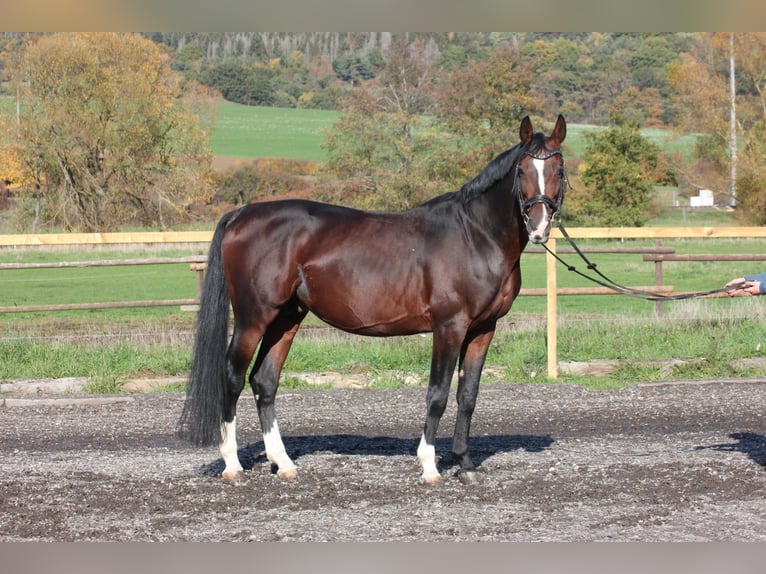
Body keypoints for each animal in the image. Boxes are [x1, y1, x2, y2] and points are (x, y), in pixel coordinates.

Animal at [177, 116, 568, 486]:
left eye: (559, 170)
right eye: (522, 170)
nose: (538, 228)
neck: (475, 235)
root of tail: (240, 215)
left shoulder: (483, 328)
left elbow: (467, 396)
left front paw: (466, 465)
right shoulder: (449, 326)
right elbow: (438, 394)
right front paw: (429, 466)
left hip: (286, 318)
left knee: (264, 381)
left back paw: (284, 464)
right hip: (253, 318)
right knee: (233, 377)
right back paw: (232, 465)